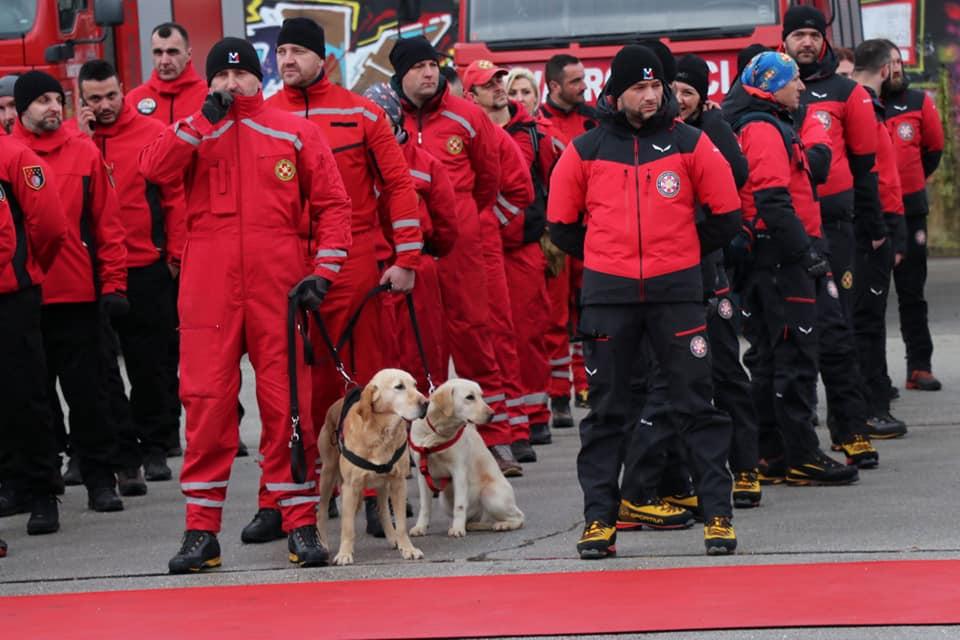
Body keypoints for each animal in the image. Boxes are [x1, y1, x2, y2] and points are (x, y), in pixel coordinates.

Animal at [316, 370, 426, 564]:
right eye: (399, 387)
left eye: (415, 385)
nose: (426, 403)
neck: (382, 432)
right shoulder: (350, 487)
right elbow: (347, 527)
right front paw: (344, 553)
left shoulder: (398, 482)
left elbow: (401, 524)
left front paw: (407, 548)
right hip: (328, 475)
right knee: (321, 512)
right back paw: (323, 544)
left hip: (383, 484)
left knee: (383, 510)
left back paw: (392, 537)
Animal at [406, 378, 524, 536]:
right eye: (470, 397)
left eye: (481, 396)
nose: (492, 414)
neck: (437, 432)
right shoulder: (423, 474)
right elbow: (425, 506)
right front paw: (420, 527)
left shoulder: (459, 471)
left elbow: (460, 505)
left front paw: (457, 529)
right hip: (444, 501)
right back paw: (474, 525)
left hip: (490, 494)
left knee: (519, 516)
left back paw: (503, 524)